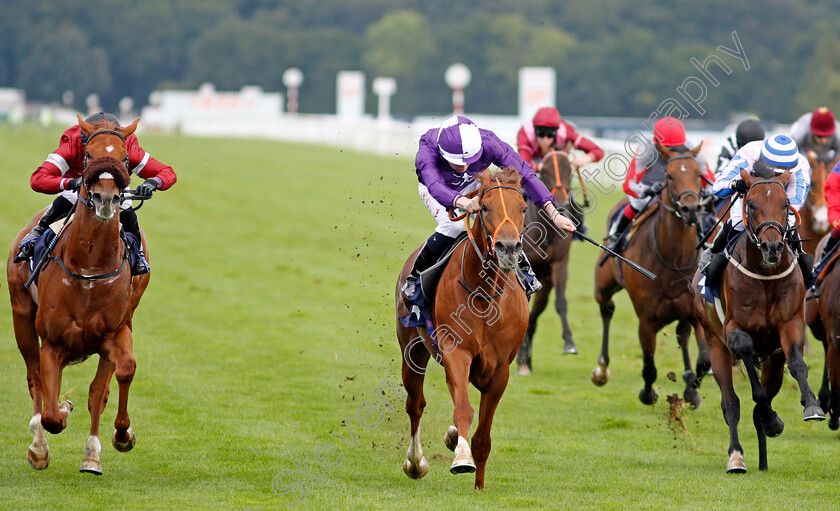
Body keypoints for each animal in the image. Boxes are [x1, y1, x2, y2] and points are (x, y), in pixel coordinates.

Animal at [6, 116, 149, 476]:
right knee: (34, 379)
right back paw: (38, 446)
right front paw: (51, 427)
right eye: (87, 156)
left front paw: (120, 436)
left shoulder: (116, 332)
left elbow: (118, 375)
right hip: (21, 315)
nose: (106, 198)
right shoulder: (53, 342)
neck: (90, 268)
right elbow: (52, 413)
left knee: (97, 389)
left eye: (126, 158)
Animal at [398, 167, 528, 488]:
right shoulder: (456, 353)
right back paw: (416, 463)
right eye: (485, 208)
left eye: (523, 208)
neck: (484, 295)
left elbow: (483, 435)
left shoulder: (499, 370)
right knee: (415, 405)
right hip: (412, 351)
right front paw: (462, 459)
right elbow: (463, 411)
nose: (508, 248)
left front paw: (479, 484)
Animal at [516, 146, 580, 374]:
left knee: (535, 314)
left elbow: (561, 302)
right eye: (545, 171)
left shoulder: (560, 265)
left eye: (569, 169)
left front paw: (569, 342)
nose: (560, 205)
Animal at [592, 144, 708, 408]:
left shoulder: (694, 312)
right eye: (670, 175)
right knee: (606, 309)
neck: (674, 259)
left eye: (698, 174)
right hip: (603, 285)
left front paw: (692, 391)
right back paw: (602, 368)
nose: (690, 209)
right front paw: (647, 393)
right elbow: (649, 366)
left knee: (682, 334)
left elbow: (704, 361)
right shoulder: (646, 319)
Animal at [692, 167, 824, 472]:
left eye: (785, 204)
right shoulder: (734, 331)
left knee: (759, 401)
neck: (764, 276)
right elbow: (754, 390)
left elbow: (797, 364)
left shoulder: (789, 325)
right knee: (731, 403)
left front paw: (811, 405)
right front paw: (772, 420)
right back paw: (736, 456)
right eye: (750, 204)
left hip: (773, 361)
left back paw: (764, 454)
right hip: (715, 344)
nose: (772, 247)